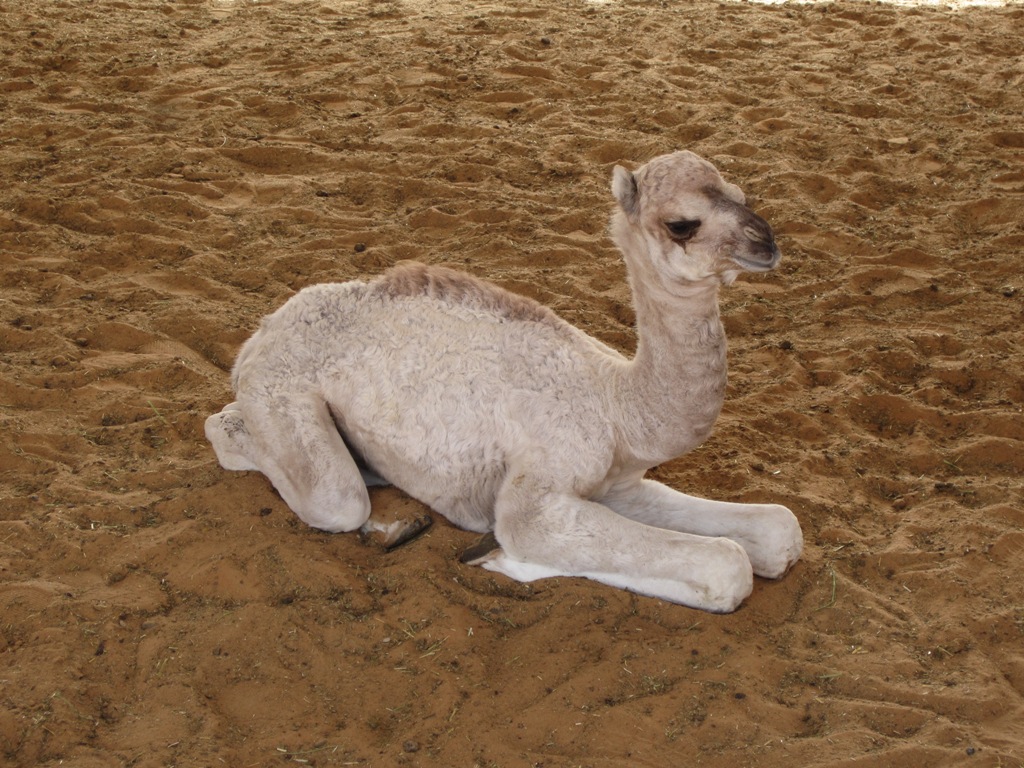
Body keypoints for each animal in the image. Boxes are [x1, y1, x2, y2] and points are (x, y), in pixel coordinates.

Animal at [205, 151, 798, 614]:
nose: (766, 241)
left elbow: (780, 530)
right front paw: (502, 558)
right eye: (681, 224)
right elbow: (727, 566)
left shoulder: (619, 484)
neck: (617, 406)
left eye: (741, 193)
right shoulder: (537, 491)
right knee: (305, 480)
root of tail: (261, 333)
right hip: (279, 390)